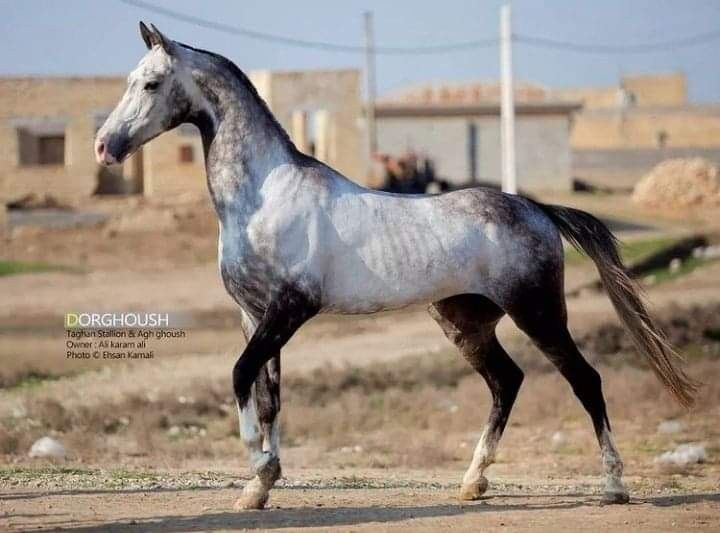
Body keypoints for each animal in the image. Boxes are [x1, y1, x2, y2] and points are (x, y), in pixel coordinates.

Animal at [95, 21, 696, 512]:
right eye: (130, 79)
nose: (105, 147)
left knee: (584, 380)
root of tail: (539, 209)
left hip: (539, 312)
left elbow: (242, 377)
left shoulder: (289, 310)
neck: (264, 194)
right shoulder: (254, 316)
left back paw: (614, 487)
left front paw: (260, 468)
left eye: (151, 84)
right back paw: (472, 484)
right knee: (507, 381)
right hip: (464, 322)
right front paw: (258, 488)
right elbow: (268, 399)